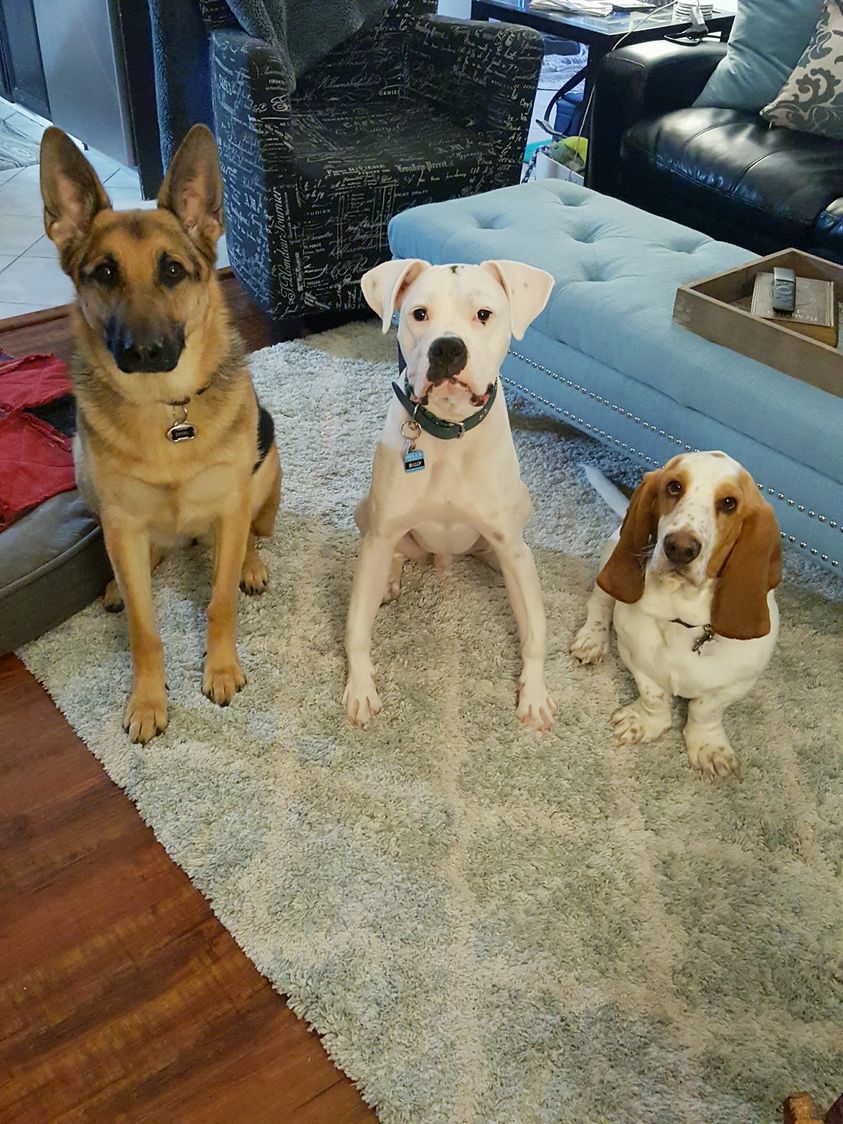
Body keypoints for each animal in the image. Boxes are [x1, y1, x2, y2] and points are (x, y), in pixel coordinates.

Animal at [39, 123, 282, 741]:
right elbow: (144, 631)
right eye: (104, 273)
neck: (166, 410)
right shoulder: (122, 523)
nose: (143, 352)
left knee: (249, 531)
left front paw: (221, 669)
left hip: (264, 464)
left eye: (172, 270)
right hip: (87, 482)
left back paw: (249, 563)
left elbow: (220, 604)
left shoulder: (229, 503)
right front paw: (148, 700)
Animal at [339, 257, 557, 728]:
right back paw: (389, 578)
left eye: (484, 315)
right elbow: (356, 627)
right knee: (395, 554)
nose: (448, 348)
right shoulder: (380, 533)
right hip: (367, 515)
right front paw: (361, 687)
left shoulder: (511, 544)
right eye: (419, 313)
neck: (449, 428)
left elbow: (534, 633)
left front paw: (533, 695)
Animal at [575, 451, 786, 777]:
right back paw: (592, 641)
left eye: (729, 503)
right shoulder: (636, 659)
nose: (680, 547)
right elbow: (654, 696)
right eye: (674, 486)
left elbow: (705, 711)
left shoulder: (735, 684)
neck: (683, 620)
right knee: (599, 604)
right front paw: (643, 723)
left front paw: (709, 747)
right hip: (608, 561)